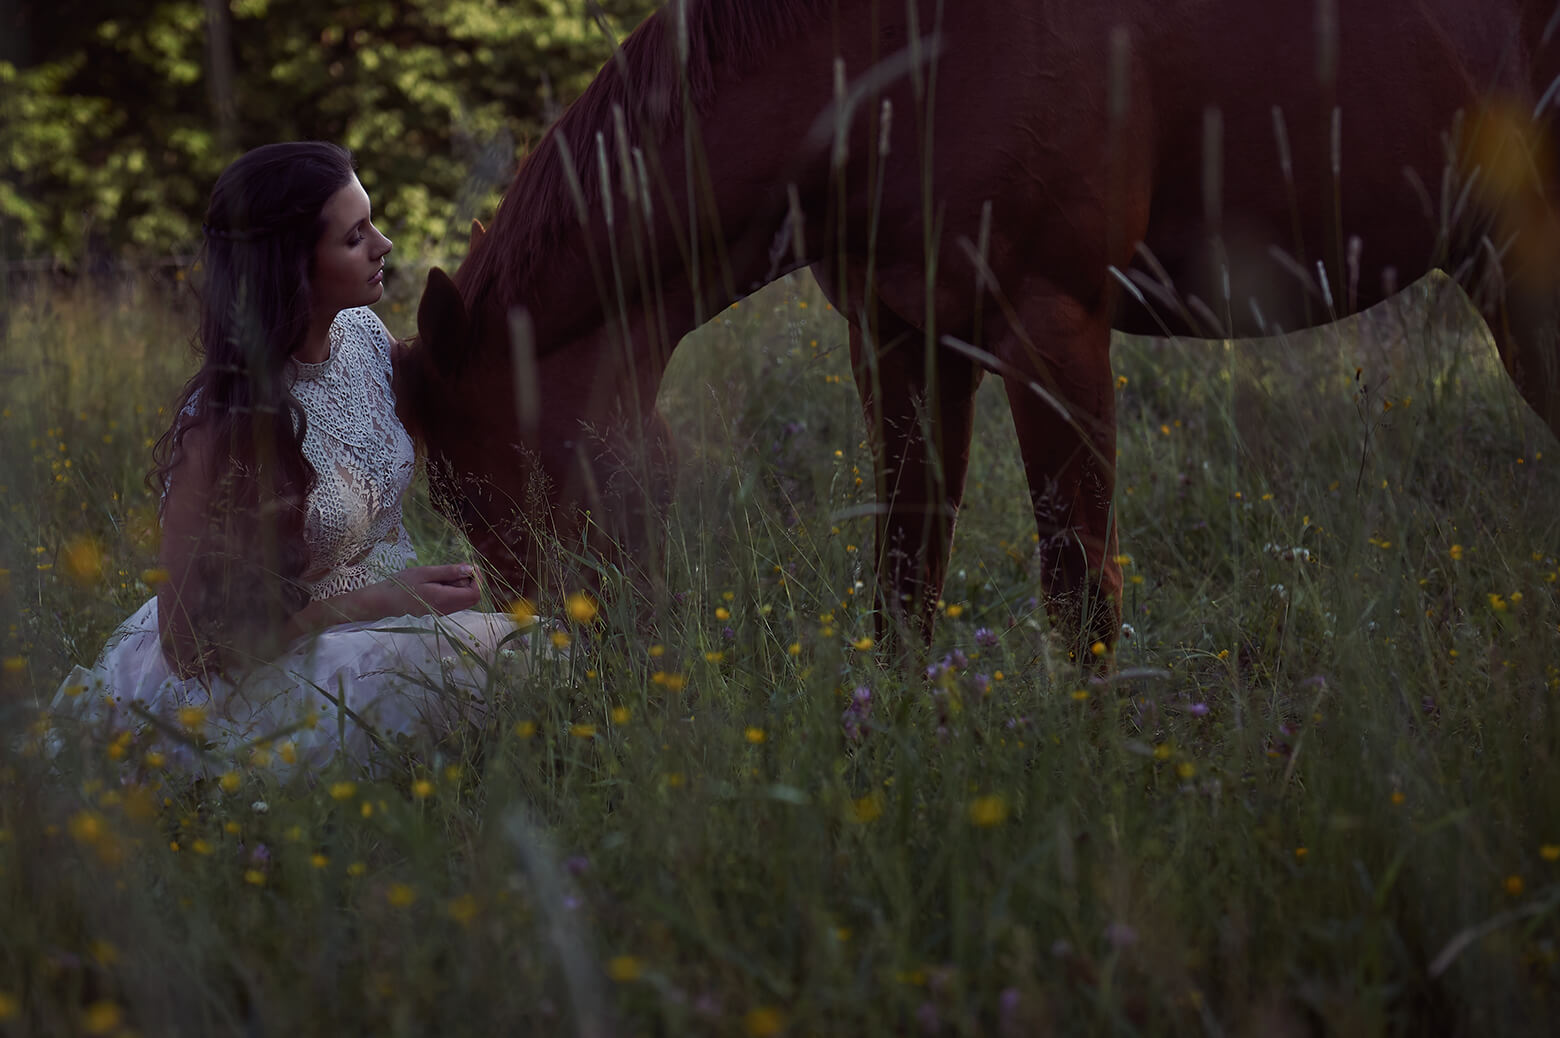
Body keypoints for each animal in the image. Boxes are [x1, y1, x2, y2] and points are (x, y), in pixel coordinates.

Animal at [396, 2, 1560, 655]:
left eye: (481, 492)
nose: (575, 674)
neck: (900, 63)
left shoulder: (1054, 332)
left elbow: (1079, 590)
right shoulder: (899, 338)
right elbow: (907, 576)